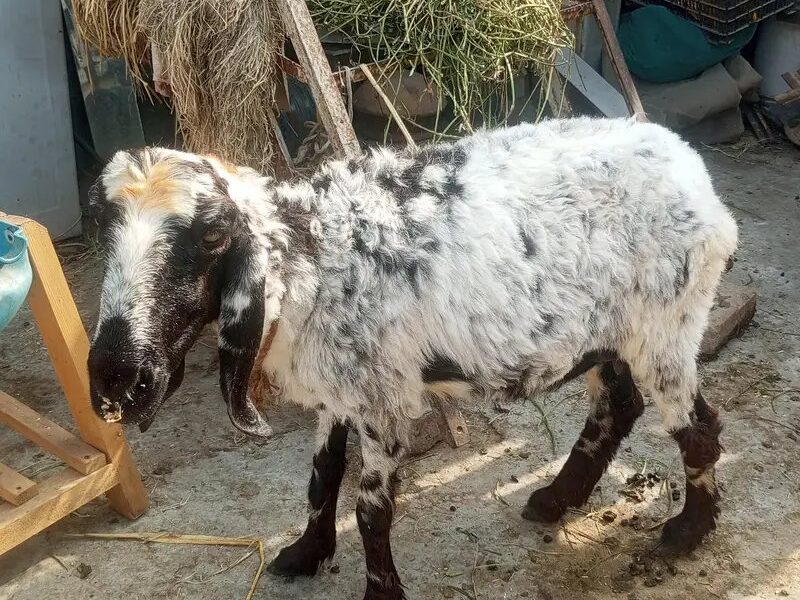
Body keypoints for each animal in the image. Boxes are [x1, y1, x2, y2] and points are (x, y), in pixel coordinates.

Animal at [87, 117, 737, 600]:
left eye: (213, 238)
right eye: (104, 228)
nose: (119, 378)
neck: (310, 256)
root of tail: (695, 172)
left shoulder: (381, 398)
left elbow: (371, 509)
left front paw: (380, 590)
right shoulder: (339, 386)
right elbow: (323, 476)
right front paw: (304, 553)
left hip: (667, 323)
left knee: (699, 427)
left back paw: (688, 531)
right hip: (608, 332)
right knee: (620, 405)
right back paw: (556, 499)